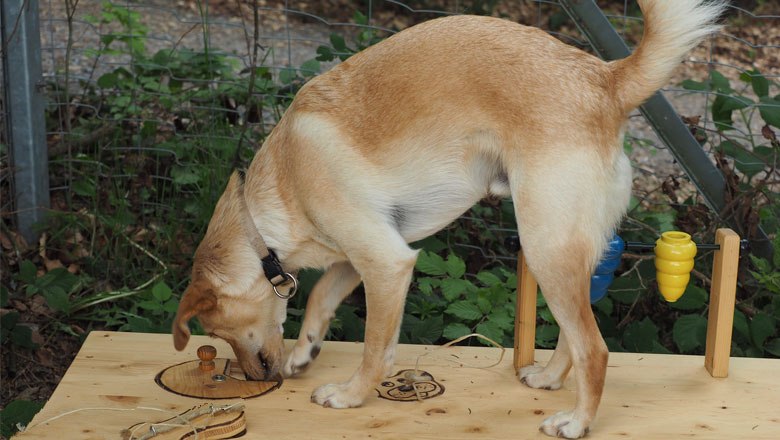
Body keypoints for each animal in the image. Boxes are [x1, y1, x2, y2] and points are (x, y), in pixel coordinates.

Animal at [172, 1, 724, 438]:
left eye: (218, 332)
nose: (256, 380)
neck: (272, 202)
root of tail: (605, 80)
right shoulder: (365, 258)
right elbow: (320, 298)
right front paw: (306, 351)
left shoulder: (386, 263)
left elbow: (374, 348)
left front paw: (351, 395)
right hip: (562, 256)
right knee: (576, 334)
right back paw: (549, 378)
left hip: (544, 248)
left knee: (595, 349)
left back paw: (576, 422)